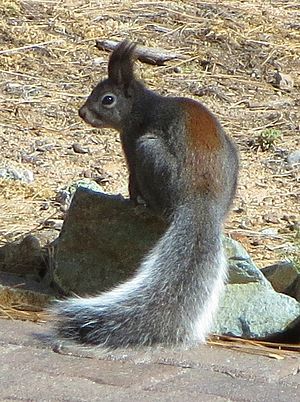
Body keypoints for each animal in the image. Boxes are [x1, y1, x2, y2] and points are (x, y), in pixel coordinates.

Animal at [52, 41, 239, 348]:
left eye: (107, 99)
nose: (82, 112)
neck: (140, 107)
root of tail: (202, 199)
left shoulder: (130, 142)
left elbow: (131, 181)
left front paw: (129, 199)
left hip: (148, 150)